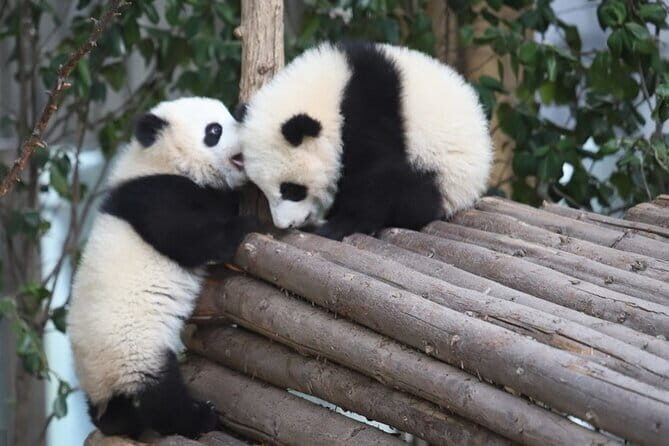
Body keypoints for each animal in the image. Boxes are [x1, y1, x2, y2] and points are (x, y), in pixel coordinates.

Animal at [67, 97, 256, 439]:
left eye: (230, 116)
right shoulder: (156, 196)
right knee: (160, 397)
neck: (161, 159)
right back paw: (199, 418)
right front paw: (246, 223)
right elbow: (191, 238)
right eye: (214, 131)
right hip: (134, 350)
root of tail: (100, 393)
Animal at [237, 42, 493, 240]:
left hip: (442, 171)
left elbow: (376, 176)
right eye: (264, 191)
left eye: (292, 189)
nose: (285, 225)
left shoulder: (369, 112)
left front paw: (342, 225)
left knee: (415, 194)